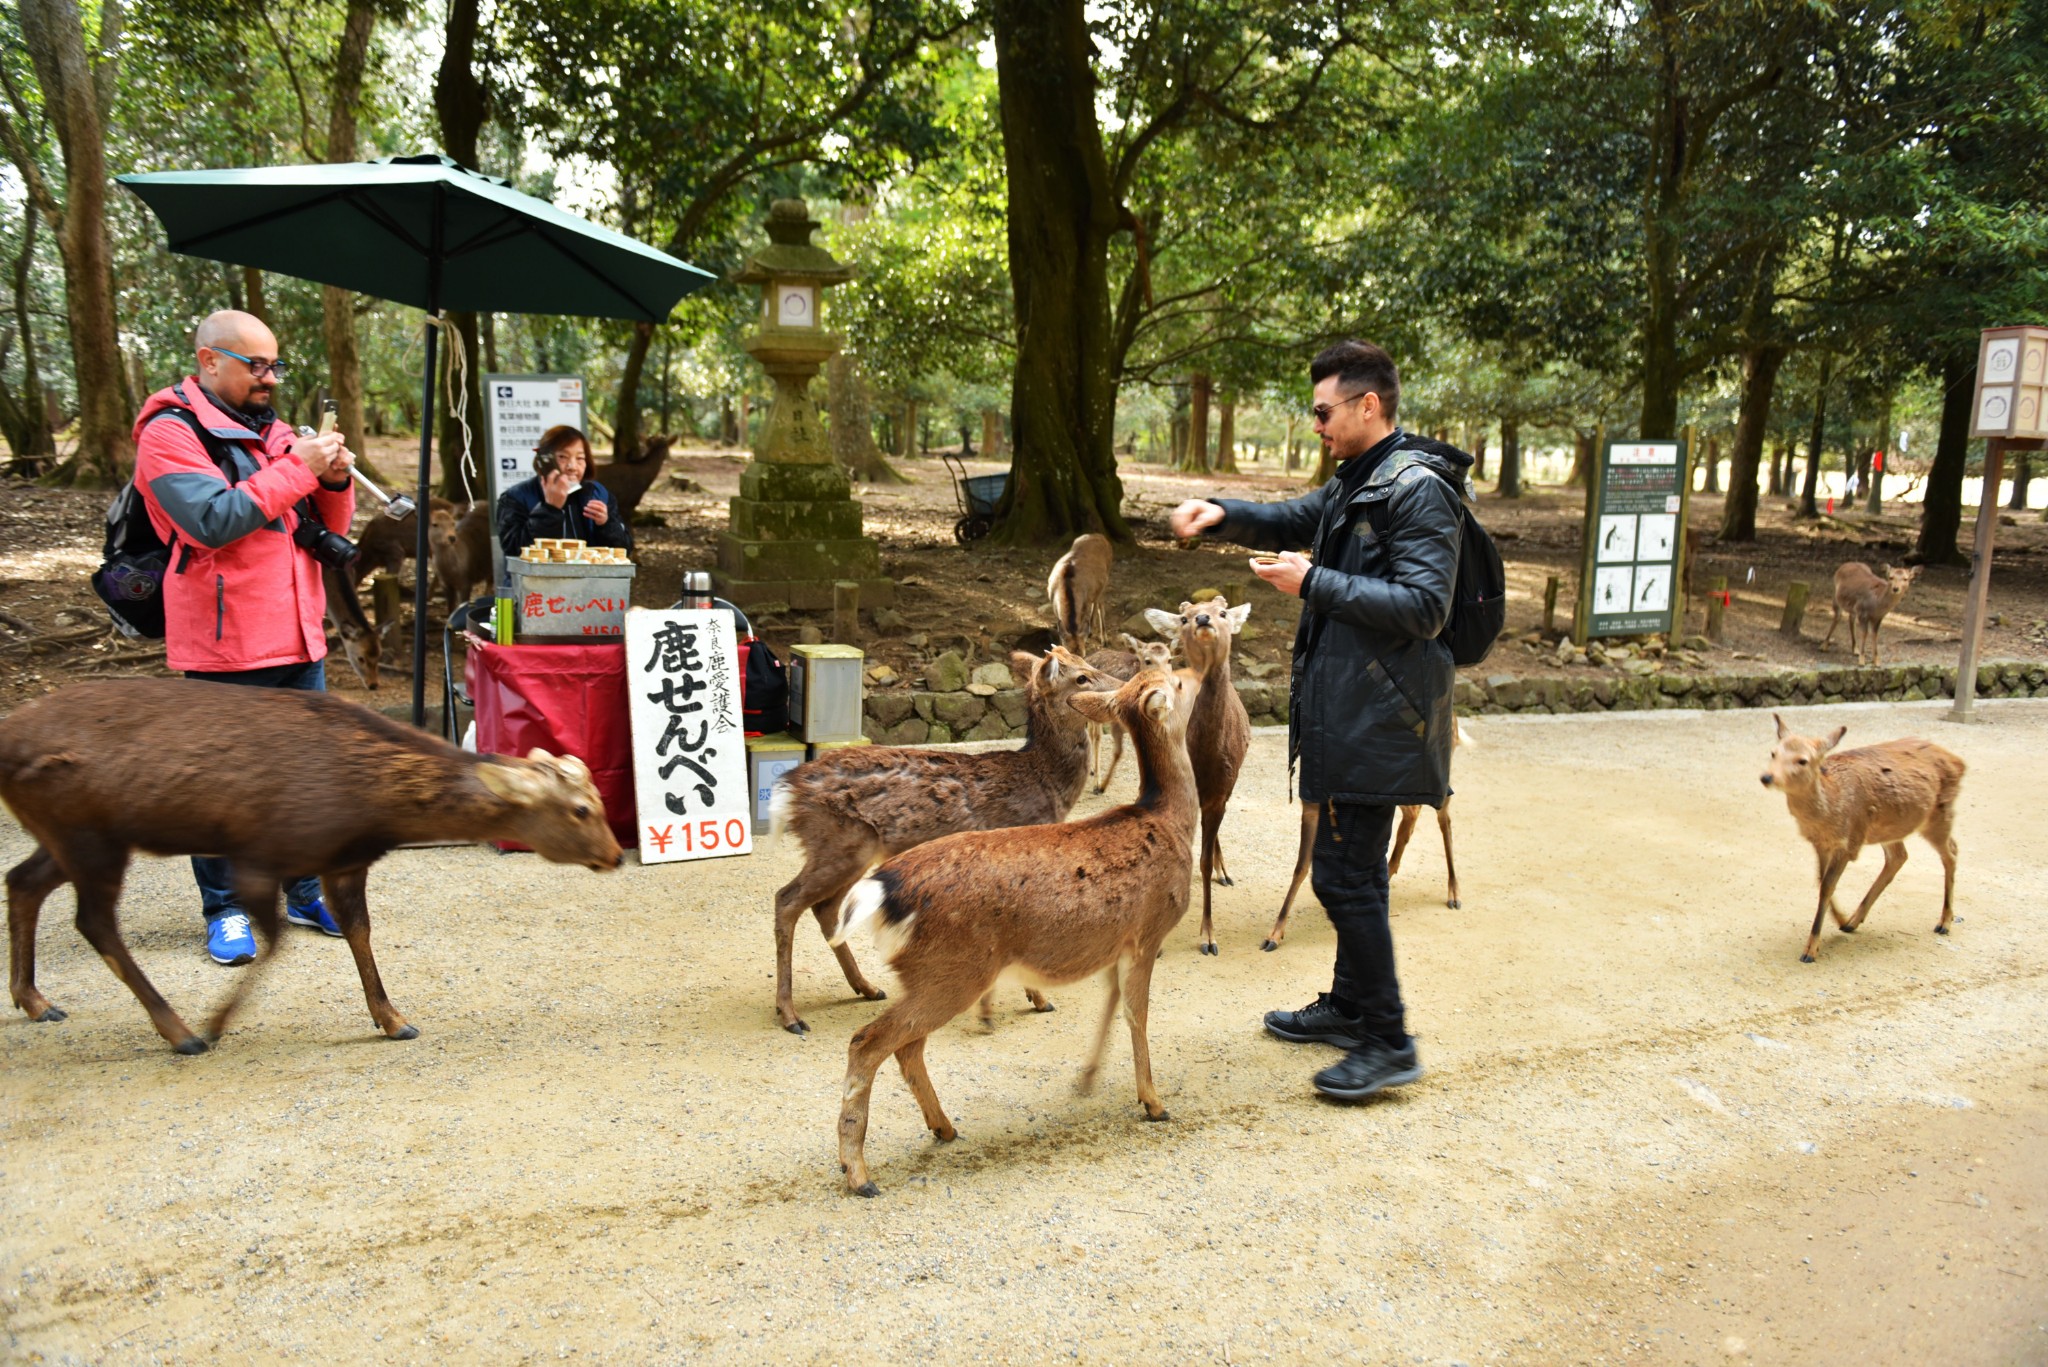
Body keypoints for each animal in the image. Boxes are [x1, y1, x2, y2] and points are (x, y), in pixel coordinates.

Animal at [4, 680, 618, 1057]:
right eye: (581, 809)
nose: (614, 855)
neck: (371, 810)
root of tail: (8, 745)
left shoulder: (342, 861)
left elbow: (359, 931)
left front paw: (393, 1019)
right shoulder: (259, 852)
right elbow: (276, 943)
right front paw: (216, 1024)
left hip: (67, 835)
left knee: (22, 880)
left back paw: (36, 1001)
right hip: (88, 834)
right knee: (93, 922)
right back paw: (181, 1032)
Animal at [1081, 635, 1179, 795]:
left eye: (1169, 660)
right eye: (1147, 660)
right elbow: (1117, 751)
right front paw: (1101, 786)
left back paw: (1092, 769)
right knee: (1096, 736)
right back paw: (1095, 778)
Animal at [1146, 594, 1253, 959]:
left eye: (1223, 612)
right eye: (1183, 617)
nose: (1203, 619)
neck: (1203, 758)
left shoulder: (1220, 791)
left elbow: (1203, 861)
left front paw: (1208, 937)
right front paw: (1159, 944)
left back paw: (1224, 871)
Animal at [1261, 717, 1474, 950]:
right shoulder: (1311, 806)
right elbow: (1301, 867)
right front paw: (1273, 935)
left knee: (1443, 817)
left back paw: (1454, 893)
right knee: (1413, 813)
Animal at [1761, 717, 1966, 963]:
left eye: (1803, 760)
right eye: (1773, 753)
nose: (1767, 777)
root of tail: (1959, 762)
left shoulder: (1848, 842)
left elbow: (1827, 886)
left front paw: (1810, 950)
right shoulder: (1821, 843)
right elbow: (1821, 881)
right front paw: (1840, 920)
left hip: (1938, 816)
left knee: (1951, 852)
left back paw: (1944, 922)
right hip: (1889, 828)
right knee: (1899, 856)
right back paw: (1852, 921)